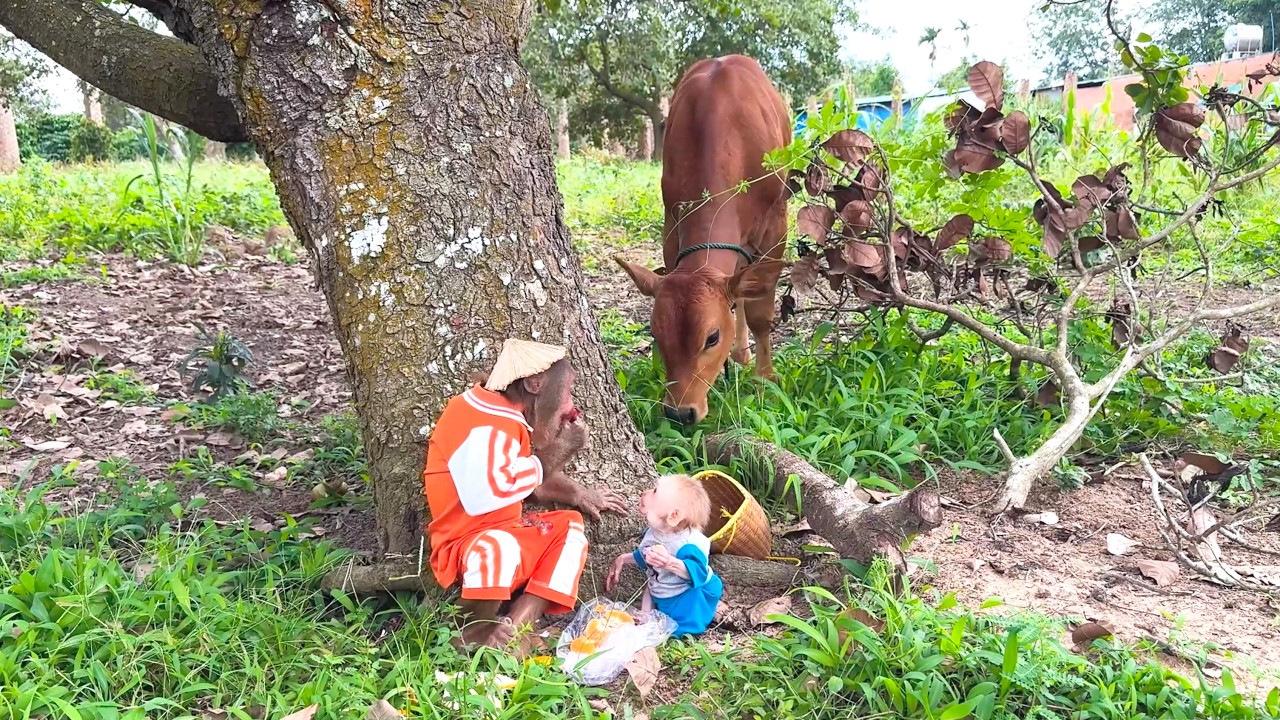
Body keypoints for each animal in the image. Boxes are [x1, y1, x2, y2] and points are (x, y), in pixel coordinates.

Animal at [615, 54, 791, 425]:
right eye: (656, 334)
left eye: (712, 337)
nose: (680, 412)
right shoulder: (672, 223)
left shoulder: (776, 225)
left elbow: (760, 311)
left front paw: (766, 380)